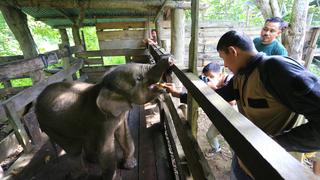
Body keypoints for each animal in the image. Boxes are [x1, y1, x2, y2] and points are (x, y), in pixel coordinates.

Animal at [35, 59, 171, 179]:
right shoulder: (101, 120)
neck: (102, 86)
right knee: (73, 149)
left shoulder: (118, 114)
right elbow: (105, 150)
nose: (169, 58)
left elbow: (124, 134)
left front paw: (131, 165)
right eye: (138, 78)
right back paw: (80, 174)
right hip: (49, 125)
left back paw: (93, 160)